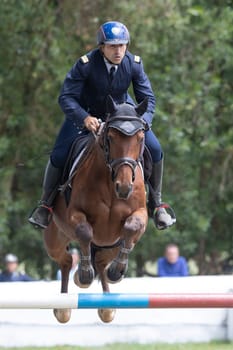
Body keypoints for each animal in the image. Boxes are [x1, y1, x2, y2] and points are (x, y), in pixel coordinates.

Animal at [43, 95, 148, 322]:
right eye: (111, 137)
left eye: (140, 138)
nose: (124, 187)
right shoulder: (75, 214)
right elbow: (84, 232)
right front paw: (84, 274)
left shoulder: (140, 215)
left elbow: (131, 226)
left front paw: (117, 270)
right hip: (55, 238)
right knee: (65, 261)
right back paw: (64, 305)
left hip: (111, 245)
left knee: (101, 260)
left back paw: (108, 304)